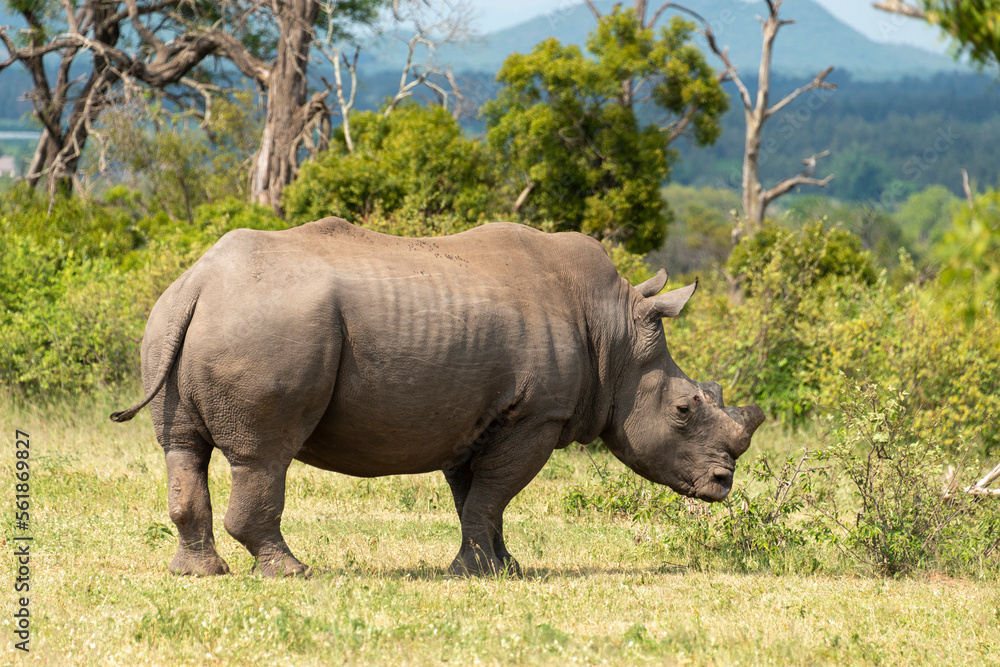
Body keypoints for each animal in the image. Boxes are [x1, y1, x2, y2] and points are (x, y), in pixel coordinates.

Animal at [112, 218, 764, 577]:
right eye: (684, 410)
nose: (722, 485)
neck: (617, 336)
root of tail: (199, 282)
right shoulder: (536, 415)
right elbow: (492, 495)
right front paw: (476, 575)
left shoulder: (475, 415)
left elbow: (475, 497)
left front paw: (504, 569)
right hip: (270, 325)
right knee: (265, 455)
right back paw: (292, 573)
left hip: (174, 320)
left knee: (181, 447)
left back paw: (199, 573)